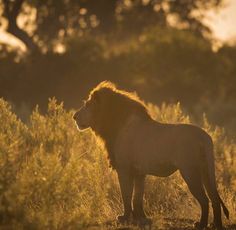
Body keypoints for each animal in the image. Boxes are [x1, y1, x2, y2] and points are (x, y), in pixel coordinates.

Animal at [73, 81, 229, 228]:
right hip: (206, 170)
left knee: (205, 199)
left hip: (190, 171)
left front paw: (124, 217)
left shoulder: (124, 168)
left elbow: (126, 194)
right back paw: (216, 225)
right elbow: (137, 197)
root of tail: (205, 136)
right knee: (214, 198)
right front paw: (141, 217)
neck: (114, 124)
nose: (74, 116)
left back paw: (201, 224)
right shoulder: (139, 172)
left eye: (87, 105)